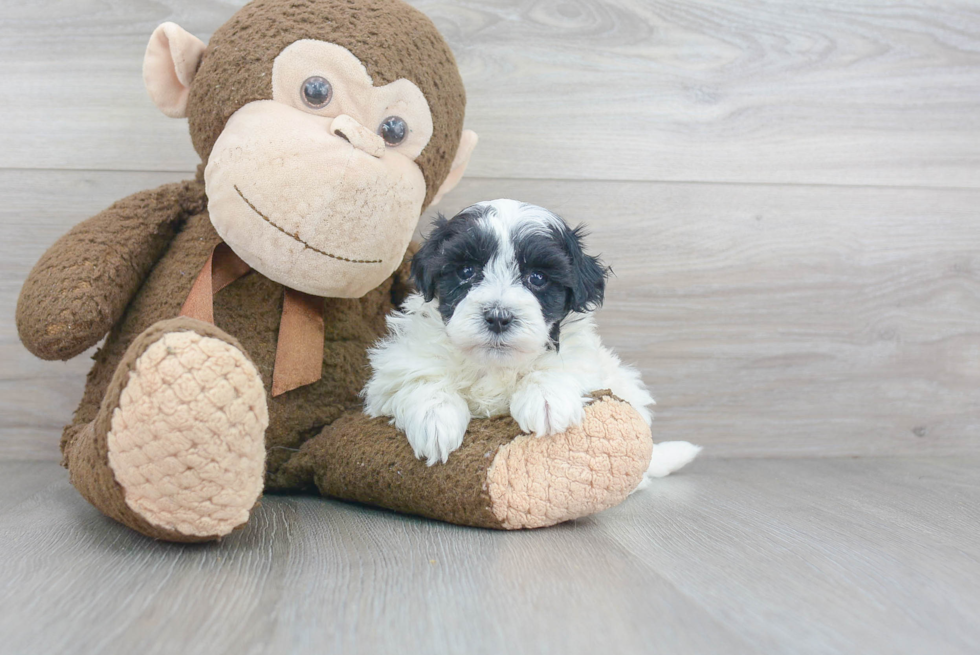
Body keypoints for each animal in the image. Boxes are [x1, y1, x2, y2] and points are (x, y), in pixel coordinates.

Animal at [364, 197, 700, 484]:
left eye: (537, 277)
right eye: (467, 270)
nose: (498, 317)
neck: (494, 365)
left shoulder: (587, 361)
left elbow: (560, 367)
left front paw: (546, 400)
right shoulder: (394, 370)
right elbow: (419, 379)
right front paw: (435, 420)